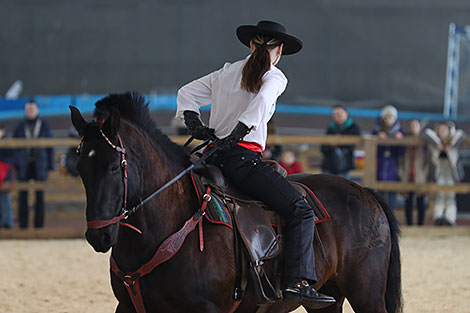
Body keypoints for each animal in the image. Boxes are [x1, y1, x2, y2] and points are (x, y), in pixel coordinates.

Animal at [70, 92, 400, 312]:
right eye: (81, 168)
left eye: (114, 167)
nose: (98, 234)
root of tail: (366, 192)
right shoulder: (127, 306)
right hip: (328, 300)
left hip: (367, 295)